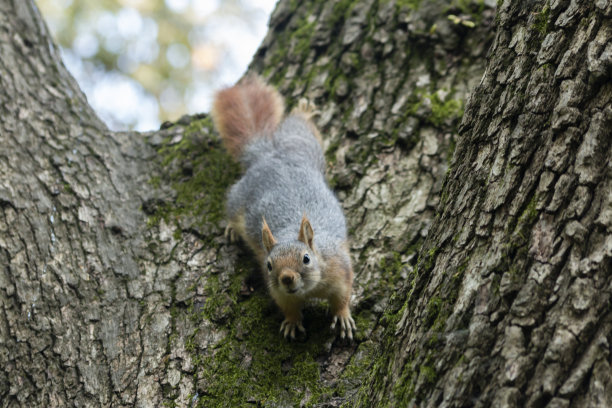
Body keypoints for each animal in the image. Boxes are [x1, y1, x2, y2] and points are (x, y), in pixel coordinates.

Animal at [212, 75, 356, 340]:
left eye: (306, 258)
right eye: (269, 265)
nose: (287, 277)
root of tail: (268, 155)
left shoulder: (341, 269)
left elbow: (342, 297)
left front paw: (342, 316)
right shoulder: (279, 292)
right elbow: (288, 307)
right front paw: (291, 322)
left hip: (304, 143)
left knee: (301, 127)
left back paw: (304, 111)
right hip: (239, 198)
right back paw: (232, 228)